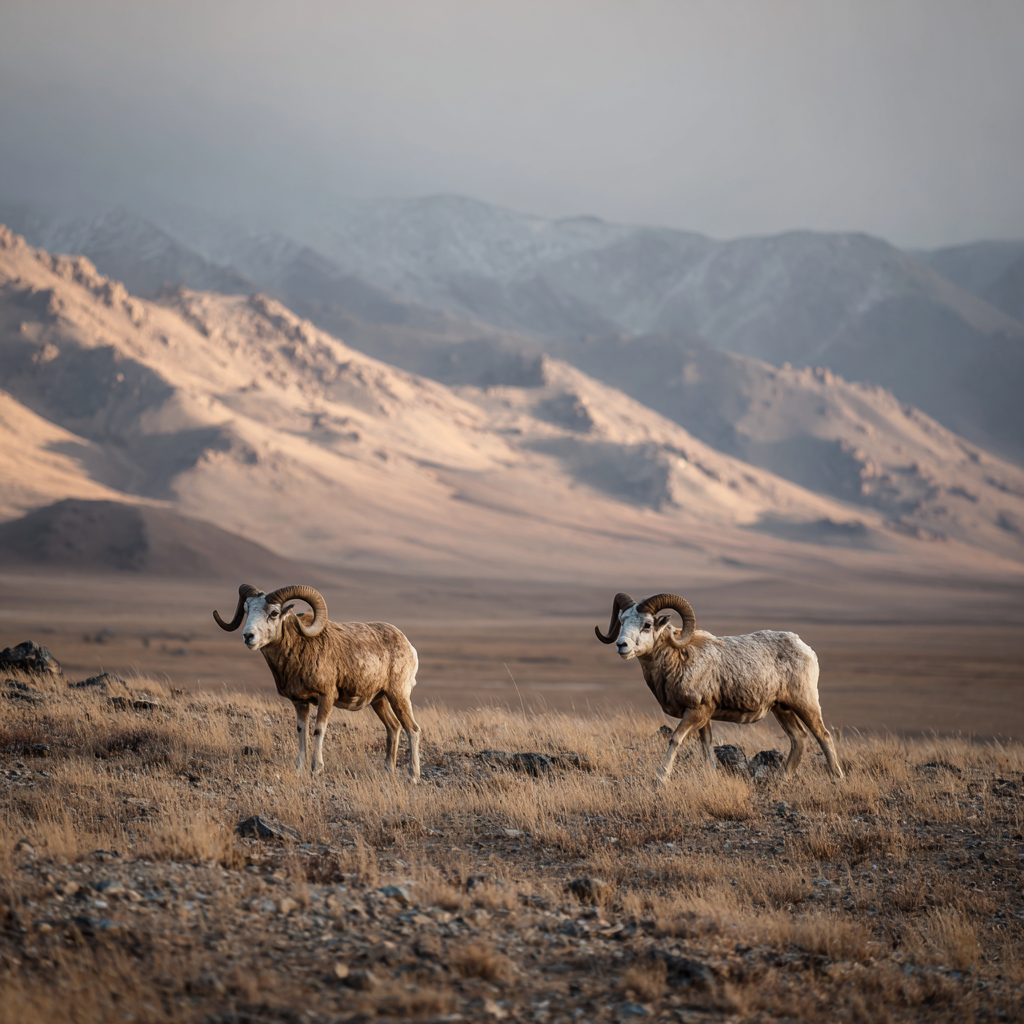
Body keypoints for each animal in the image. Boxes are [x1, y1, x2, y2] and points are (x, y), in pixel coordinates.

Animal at [214, 583, 421, 781]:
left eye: (273, 613)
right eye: (247, 609)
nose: (248, 636)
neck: (300, 650)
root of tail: (408, 646)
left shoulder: (326, 697)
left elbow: (318, 730)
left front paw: (316, 769)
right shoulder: (300, 702)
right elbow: (302, 732)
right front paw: (299, 771)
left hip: (398, 695)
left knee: (412, 729)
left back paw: (413, 776)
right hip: (379, 700)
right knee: (393, 727)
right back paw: (388, 771)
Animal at [595, 592, 844, 783]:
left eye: (647, 625)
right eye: (622, 620)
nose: (621, 645)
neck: (679, 659)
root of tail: (804, 647)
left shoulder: (695, 712)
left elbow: (675, 739)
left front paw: (661, 779)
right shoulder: (704, 716)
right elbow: (706, 745)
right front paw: (712, 775)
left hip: (805, 703)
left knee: (823, 735)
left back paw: (837, 777)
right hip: (782, 708)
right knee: (799, 738)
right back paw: (783, 778)